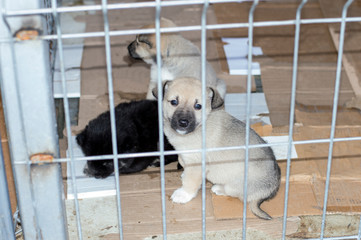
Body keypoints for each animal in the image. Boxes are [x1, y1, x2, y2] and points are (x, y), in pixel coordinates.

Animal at [152, 78, 282, 220]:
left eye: (198, 106)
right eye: (174, 102)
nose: (183, 122)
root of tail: (269, 191)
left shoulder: (197, 163)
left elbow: (190, 181)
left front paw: (184, 194)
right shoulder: (185, 156)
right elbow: (183, 163)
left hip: (236, 182)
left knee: (235, 193)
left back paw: (219, 188)